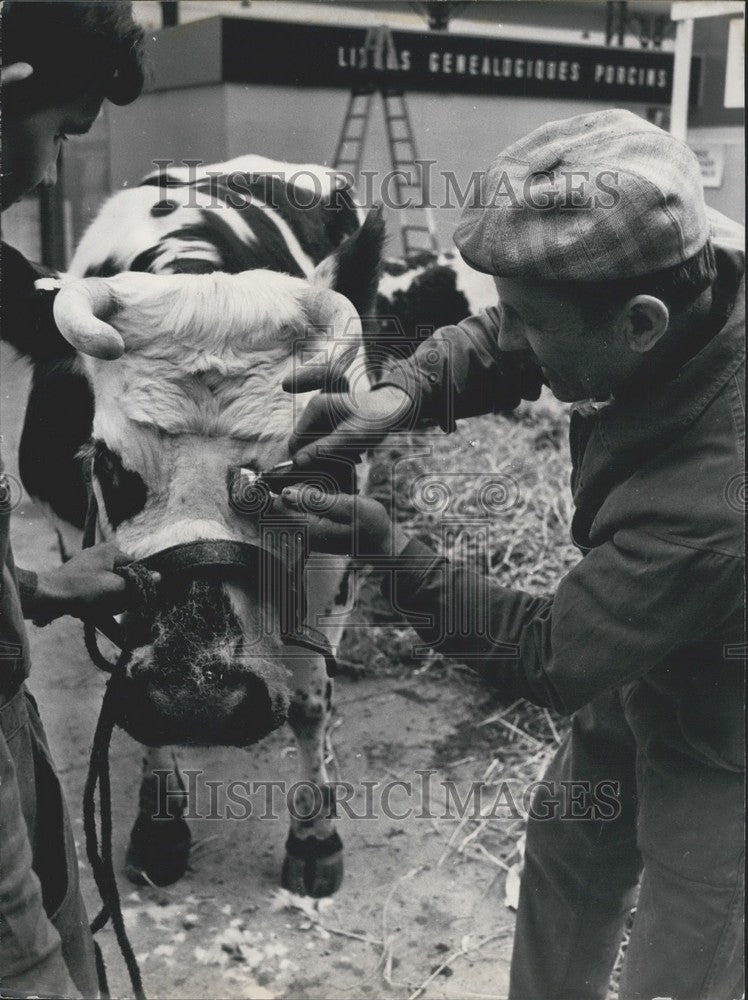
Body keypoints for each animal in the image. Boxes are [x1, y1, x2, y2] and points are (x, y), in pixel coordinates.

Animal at [10, 158, 496, 900]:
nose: (199, 702)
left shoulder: (330, 556)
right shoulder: (83, 546)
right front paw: (159, 823)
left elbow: (308, 704)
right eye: (108, 464)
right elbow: (126, 682)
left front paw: (316, 836)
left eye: (292, 473)